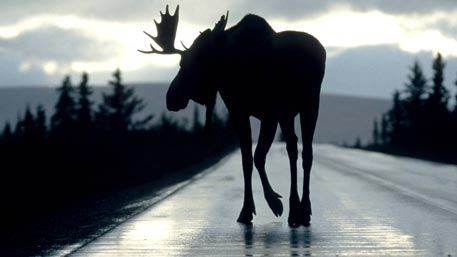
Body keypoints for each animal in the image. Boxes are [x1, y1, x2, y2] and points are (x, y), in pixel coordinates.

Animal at [139, 5, 324, 226]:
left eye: (184, 63)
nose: (170, 98)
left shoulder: (252, 112)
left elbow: (252, 159)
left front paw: (263, 206)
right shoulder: (258, 115)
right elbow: (251, 159)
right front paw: (260, 206)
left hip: (300, 105)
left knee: (300, 150)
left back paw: (299, 210)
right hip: (301, 108)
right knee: (299, 150)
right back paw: (299, 210)